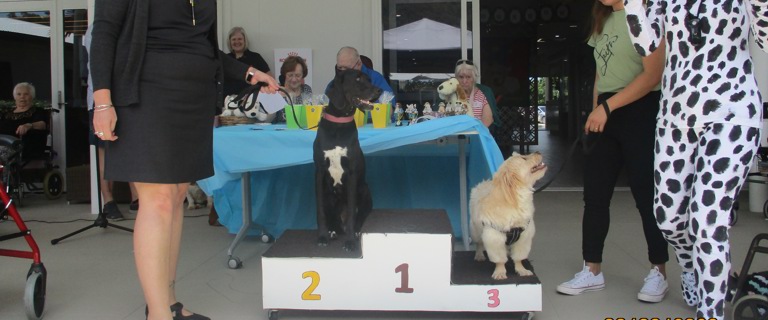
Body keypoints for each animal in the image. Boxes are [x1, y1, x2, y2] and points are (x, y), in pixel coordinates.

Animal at [314, 69, 382, 251]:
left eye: (369, 79)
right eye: (357, 79)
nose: (379, 90)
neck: (339, 124)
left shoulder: (351, 174)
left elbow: (352, 212)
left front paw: (350, 241)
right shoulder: (319, 173)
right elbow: (320, 210)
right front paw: (322, 237)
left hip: (364, 190)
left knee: (360, 215)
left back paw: (355, 232)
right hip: (329, 194)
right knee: (332, 215)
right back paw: (332, 230)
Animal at [468, 152, 544, 280]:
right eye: (524, 158)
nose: (538, 152)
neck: (517, 200)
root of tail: (483, 183)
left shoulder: (524, 237)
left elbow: (518, 258)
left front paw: (521, 270)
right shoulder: (494, 238)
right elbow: (500, 260)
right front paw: (500, 272)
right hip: (476, 231)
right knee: (479, 243)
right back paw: (479, 255)